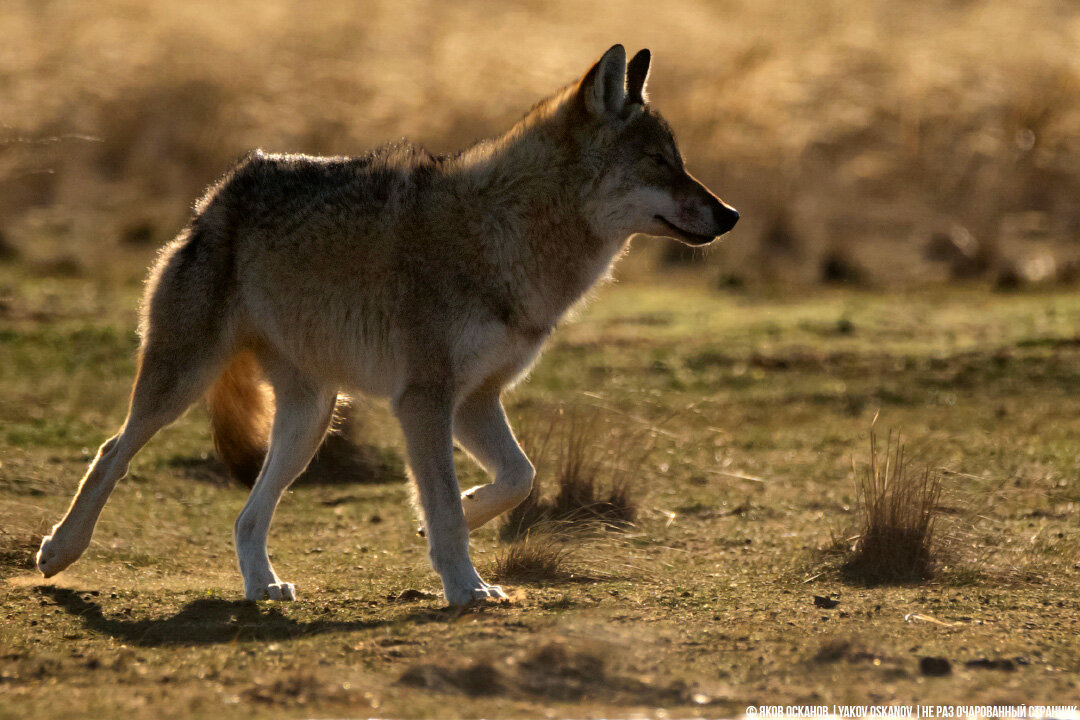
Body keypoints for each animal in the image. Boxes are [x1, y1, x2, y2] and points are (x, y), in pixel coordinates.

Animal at [38, 45, 738, 604]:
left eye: (679, 161)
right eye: (661, 163)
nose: (730, 214)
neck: (509, 235)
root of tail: (216, 196)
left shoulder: (474, 400)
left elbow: (518, 478)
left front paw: (457, 519)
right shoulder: (424, 400)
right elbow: (455, 506)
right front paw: (466, 589)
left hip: (309, 422)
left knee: (245, 516)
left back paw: (263, 587)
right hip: (183, 384)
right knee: (111, 450)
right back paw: (59, 552)